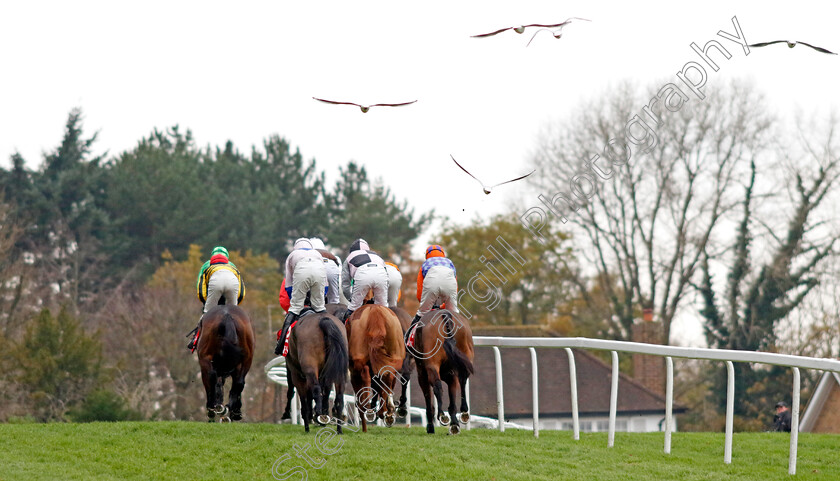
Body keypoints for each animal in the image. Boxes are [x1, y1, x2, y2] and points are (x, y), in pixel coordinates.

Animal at [344, 304, 404, 432]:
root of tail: (375, 311)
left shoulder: (354, 369)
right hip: (396, 355)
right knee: (388, 376)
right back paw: (388, 411)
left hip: (358, 362)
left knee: (365, 377)